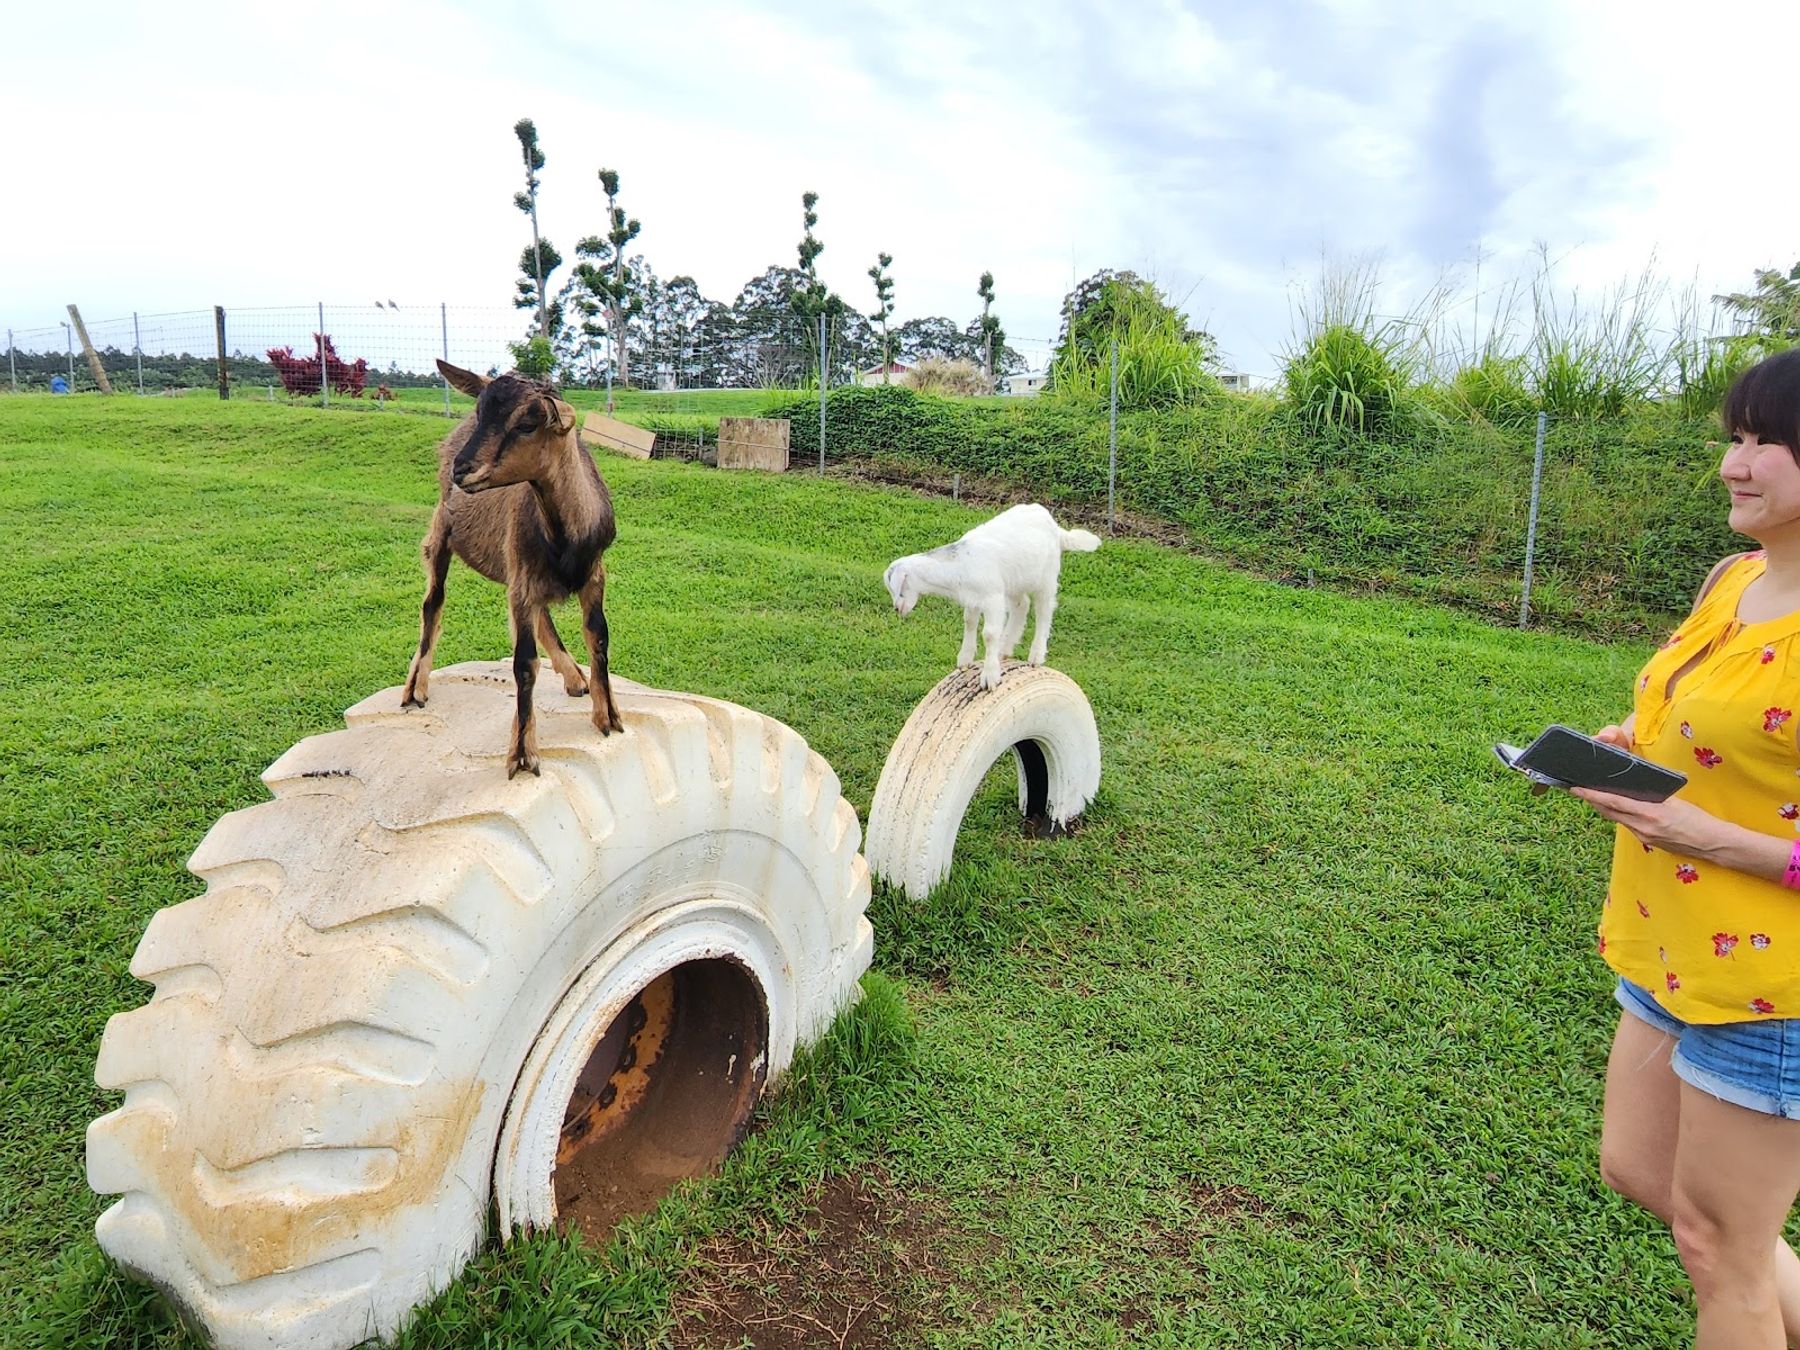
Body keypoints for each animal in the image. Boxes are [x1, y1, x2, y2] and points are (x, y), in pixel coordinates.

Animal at [401, 360, 623, 778]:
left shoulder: (593, 576)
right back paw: (414, 689)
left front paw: (610, 718)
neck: (565, 537)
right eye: (481, 412)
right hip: (442, 535)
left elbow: (598, 638)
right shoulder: (522, 579)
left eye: (526, 424)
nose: (462, 470)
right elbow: (524, 664)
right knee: (432, 604)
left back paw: (574, 677)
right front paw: (522, 754)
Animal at [884, 503, 1101, 690]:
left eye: (900, 587)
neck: (959, 565)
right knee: (1022, 605)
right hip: (1014, 581)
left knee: (1044, 611)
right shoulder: (973, 599)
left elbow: (989, 634)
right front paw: (965, 659)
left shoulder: (992, 597)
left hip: (1046, 577)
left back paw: (1036, 655)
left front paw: (989, 676)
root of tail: (1055, 526)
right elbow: (969, 622)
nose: (897, 608)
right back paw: (1005, 647)